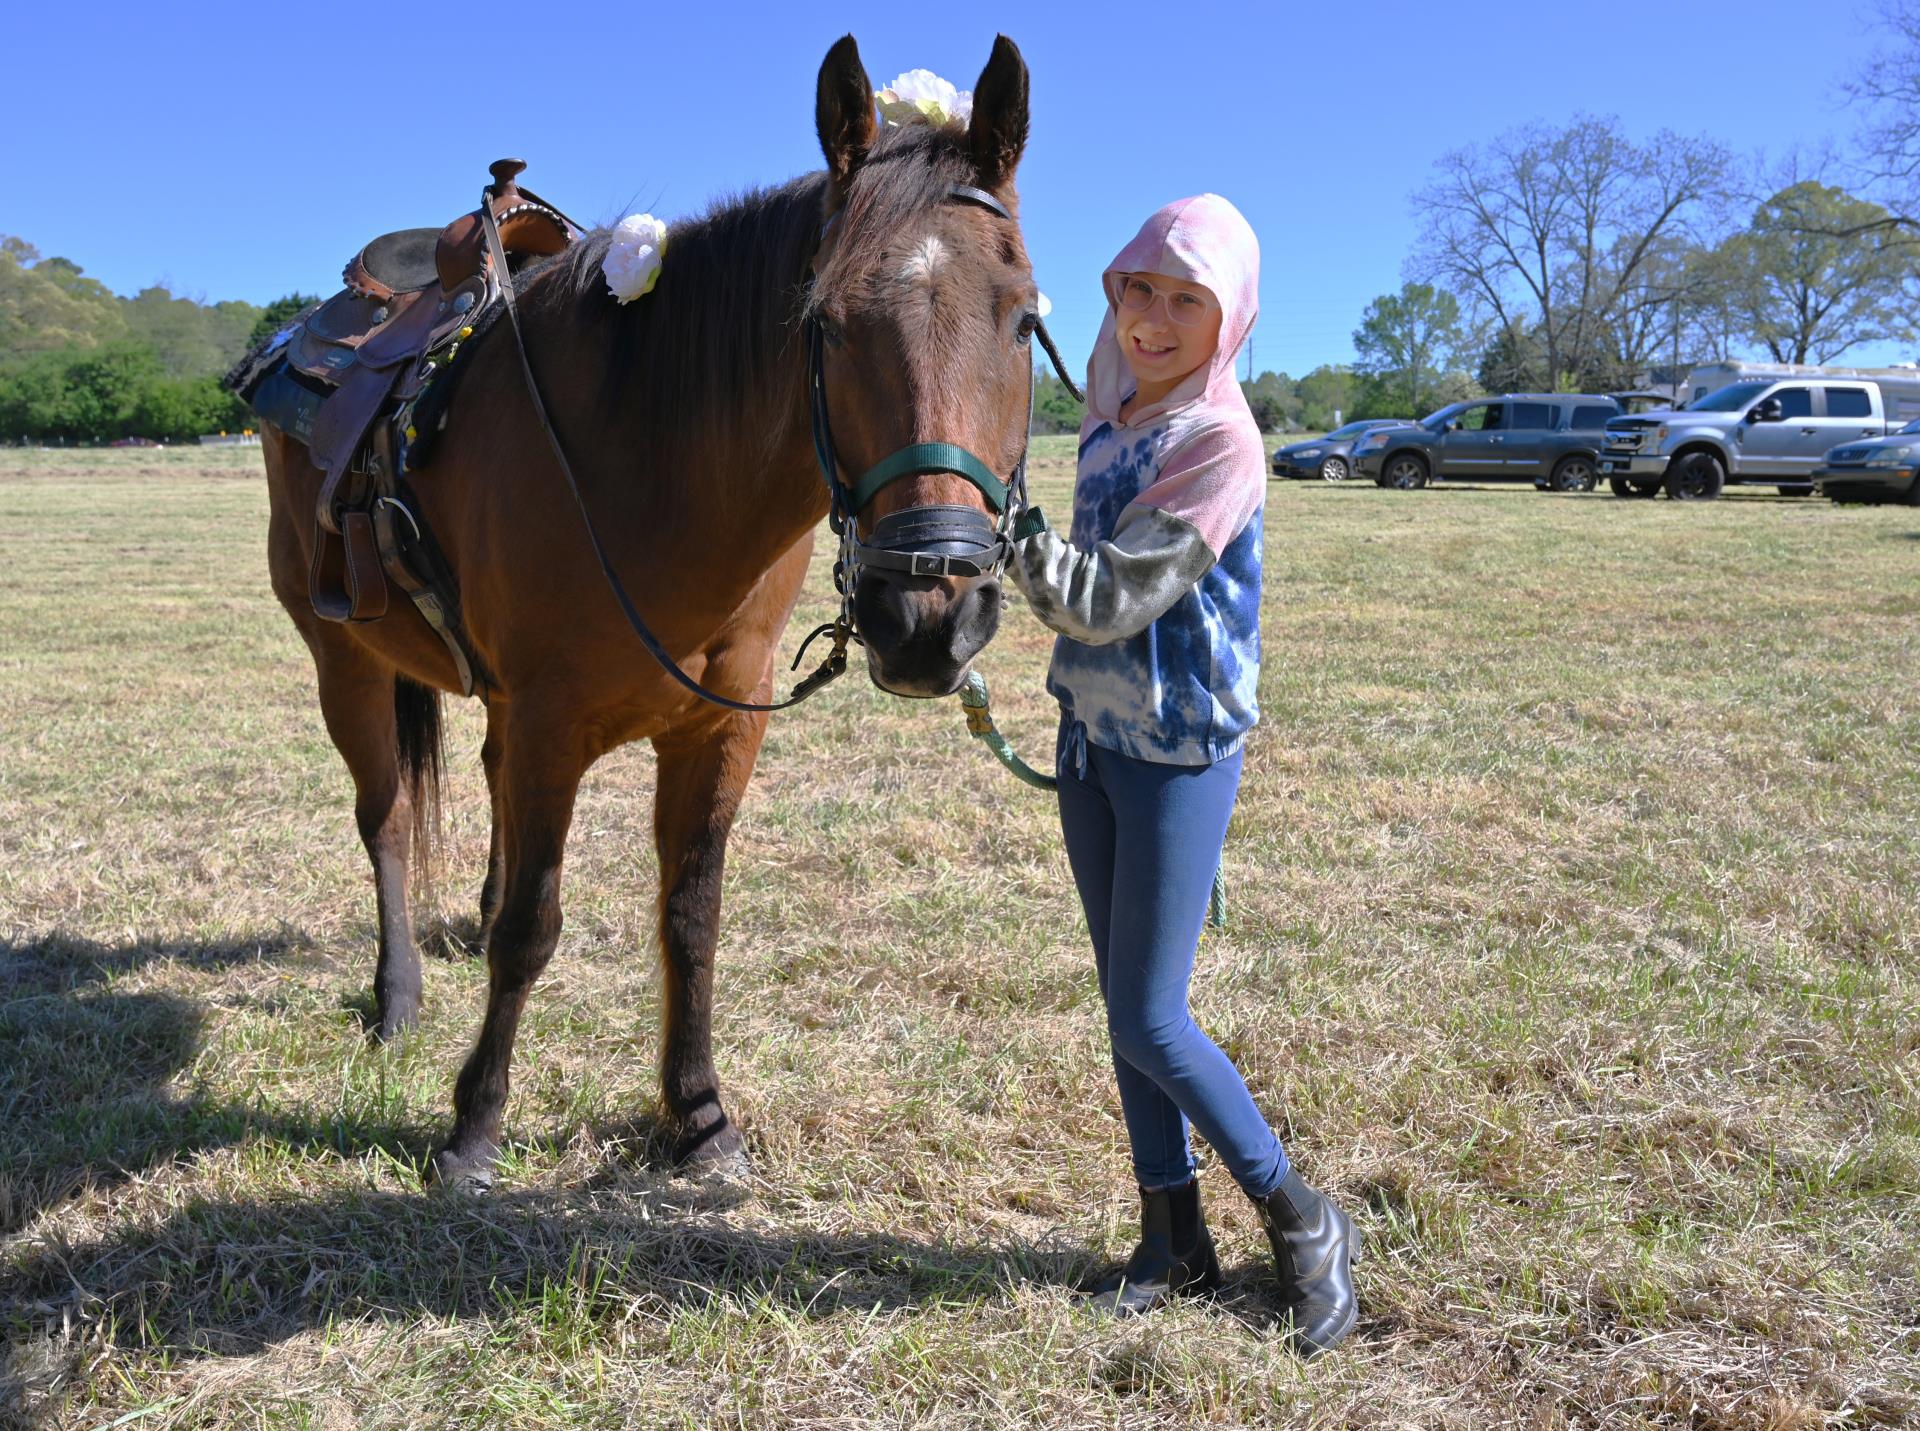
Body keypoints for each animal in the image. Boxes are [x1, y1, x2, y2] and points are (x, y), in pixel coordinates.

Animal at [259, 39, 1052, 1190]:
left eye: (1025, 319)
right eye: (823, 320)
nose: (925, 609)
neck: (647, 457)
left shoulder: (717, 728)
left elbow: (690, 916)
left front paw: (700, 1114)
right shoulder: (551, 726)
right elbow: (531, 928)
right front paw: (474, 1124)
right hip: (346, 660)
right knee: (389, 820)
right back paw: (397, 995)